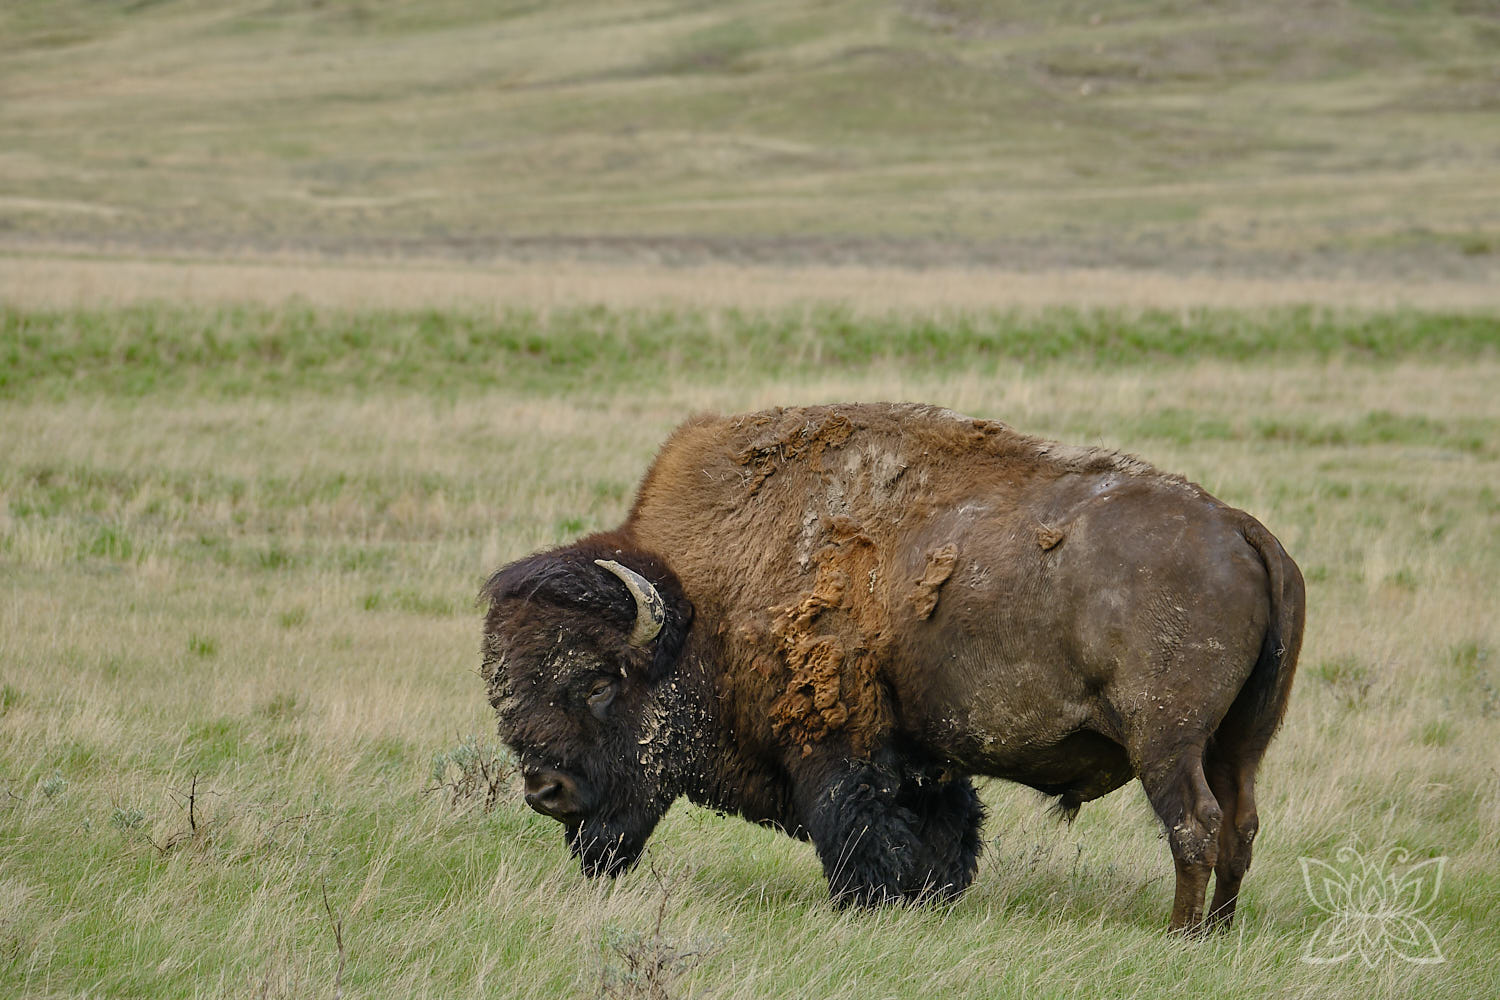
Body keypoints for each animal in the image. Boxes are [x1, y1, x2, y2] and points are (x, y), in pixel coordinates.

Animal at [480, 403, 1303, 932]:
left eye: (596, 682)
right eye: (507, 693)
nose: (544, 791)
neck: (707, 601)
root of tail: (1242, 528)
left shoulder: (842, 748)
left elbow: (859, 827)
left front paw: (868, 904)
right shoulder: (922, 756)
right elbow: (941, 829)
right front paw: (929, 898)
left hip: (1167, 742)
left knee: (1195, 824)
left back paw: (1180, 934)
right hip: (1241, 742)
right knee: (1240, 825)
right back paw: (1219, 933)